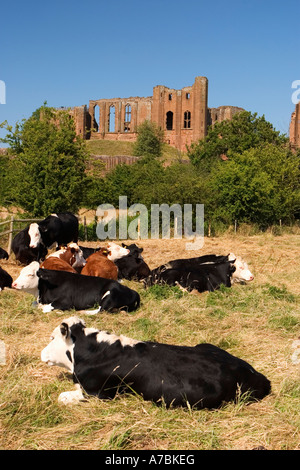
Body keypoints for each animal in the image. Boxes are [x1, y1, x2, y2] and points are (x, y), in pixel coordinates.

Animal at [12, 262, 141, 314]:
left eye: (30, 274)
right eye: (21, 272)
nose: (14, 284)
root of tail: (134, 292)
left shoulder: (66, 302)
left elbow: (46, 308)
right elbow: (34, 304)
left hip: (110, 295)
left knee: (100, 310)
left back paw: (83, 312)